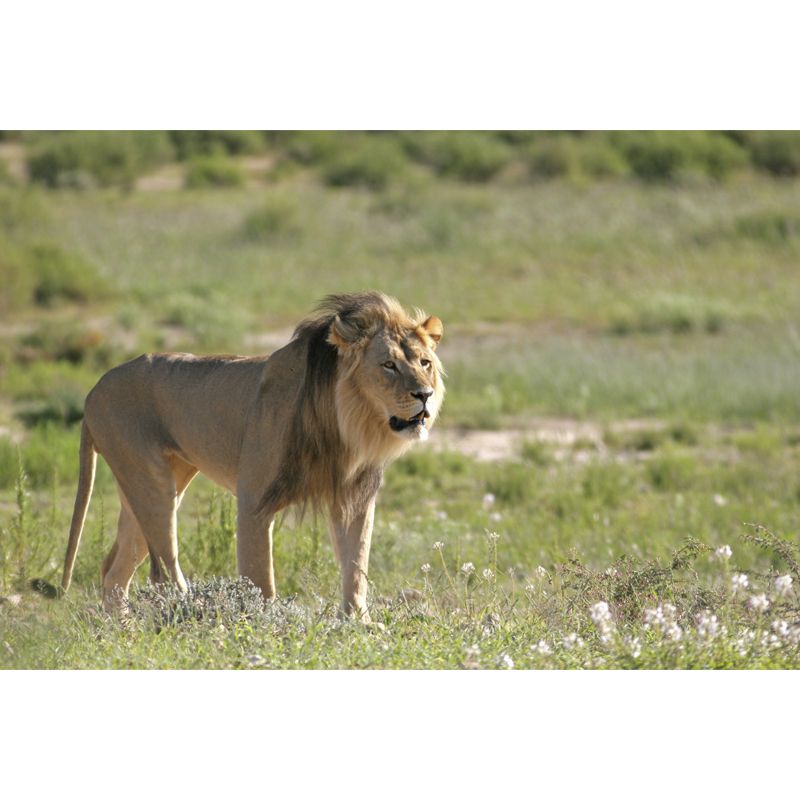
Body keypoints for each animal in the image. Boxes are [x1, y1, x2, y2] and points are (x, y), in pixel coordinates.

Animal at [61, 291, 444, 621]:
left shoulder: (355, 498)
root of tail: (94, 389)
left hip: (154, 484)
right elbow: (260, 578)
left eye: (425, 363)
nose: (424, 395)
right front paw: (266, 627)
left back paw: (122, 632)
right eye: (388, 365)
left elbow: (356, 565)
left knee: (114, 569)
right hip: (151, 483)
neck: (348, 424)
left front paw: (358, 623)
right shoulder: (254, 499)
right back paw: (193, 615)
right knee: (163, 571)